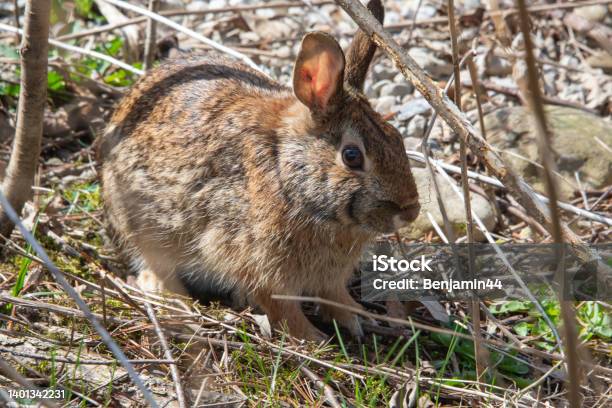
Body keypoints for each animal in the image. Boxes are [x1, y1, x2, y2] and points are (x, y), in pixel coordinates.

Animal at [97, 0, 420, 342]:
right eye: (352, 156)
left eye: (397, 137)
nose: (410, 211)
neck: (286, 175)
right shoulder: (256, 261)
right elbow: (281, 306)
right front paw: (314, 339)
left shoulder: (329, 276)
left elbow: (334, 296)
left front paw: (355, 319)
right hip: (139, 226)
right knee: (153, 268)